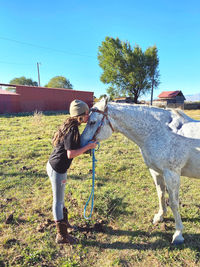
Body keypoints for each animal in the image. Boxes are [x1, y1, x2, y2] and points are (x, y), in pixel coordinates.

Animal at [80, 98, 200, 245]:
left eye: (92, 122)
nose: (80, 144)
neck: (160, 132)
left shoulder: (172, 174)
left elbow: (174, 203)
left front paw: (178, 234)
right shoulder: (156, 171)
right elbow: (161, 194)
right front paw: (160, 216)